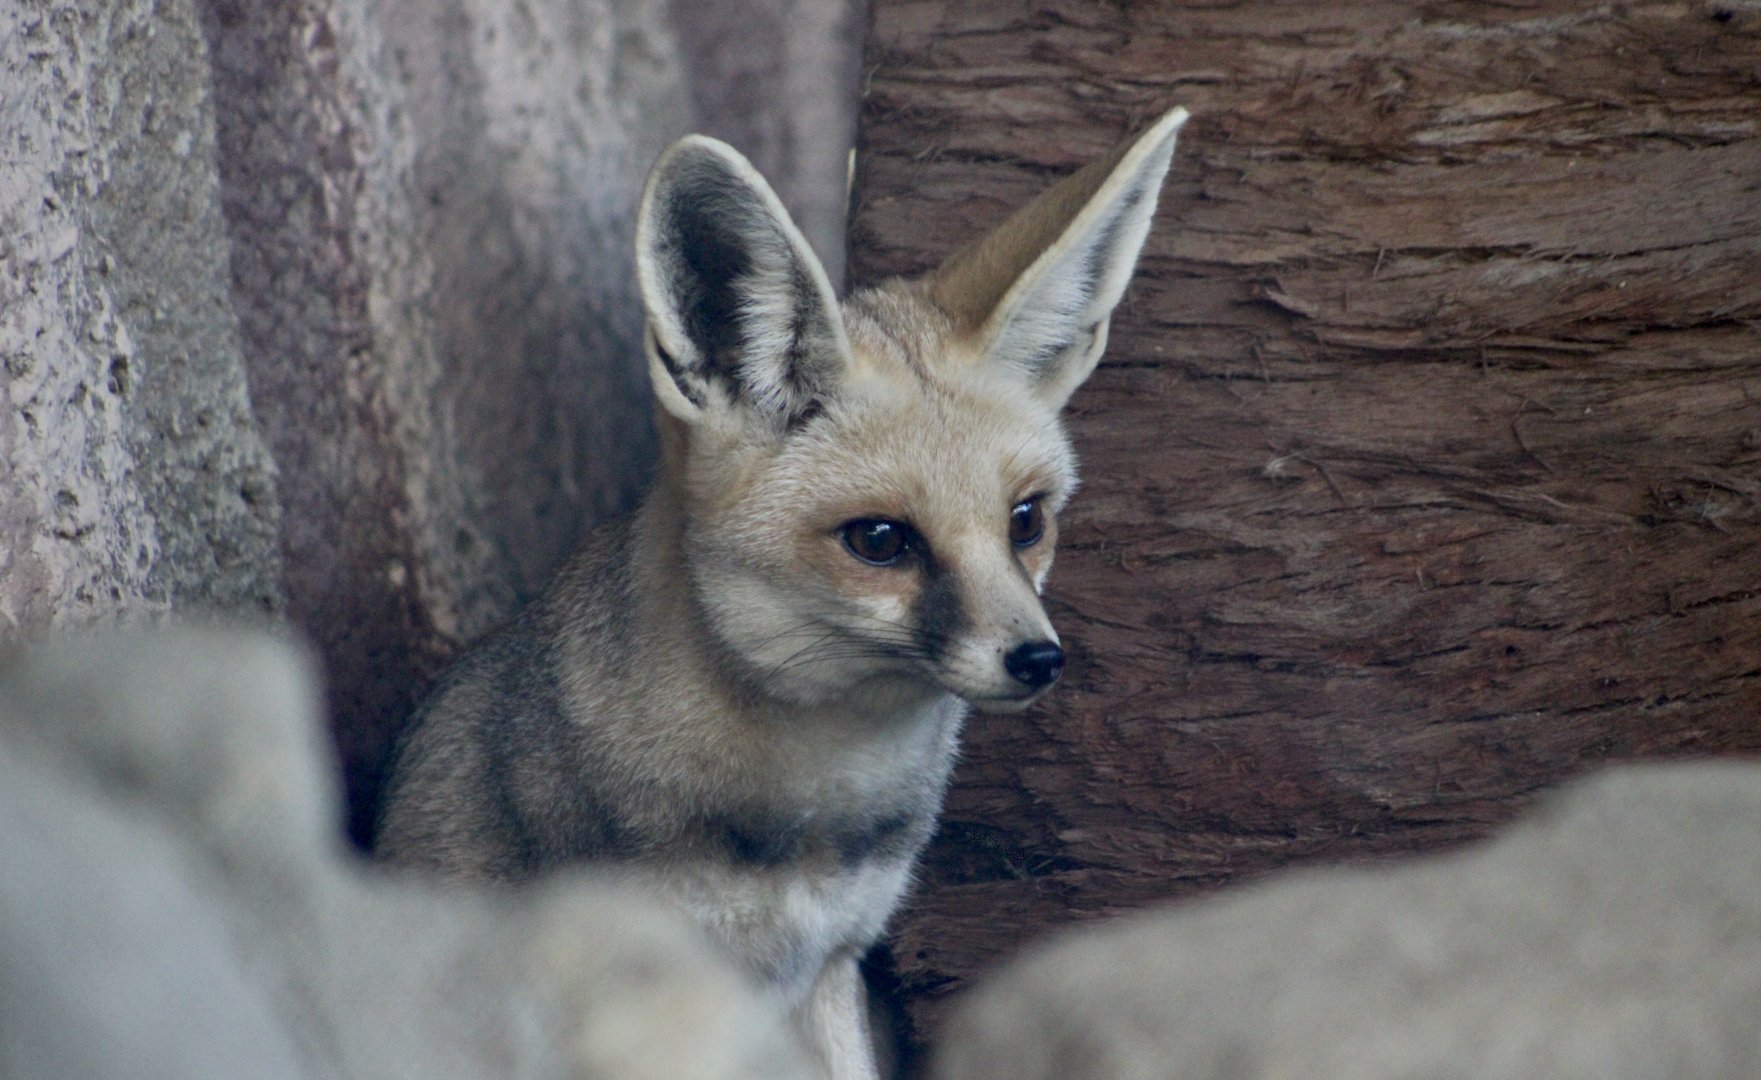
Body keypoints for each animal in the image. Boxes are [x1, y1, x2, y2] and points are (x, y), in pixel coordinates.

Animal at [375, 105, 1188, 1080]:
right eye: (880, 540)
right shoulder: (660, 999)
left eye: (1025, 521)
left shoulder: (826, 965)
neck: (808, 817)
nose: (1038, 659)